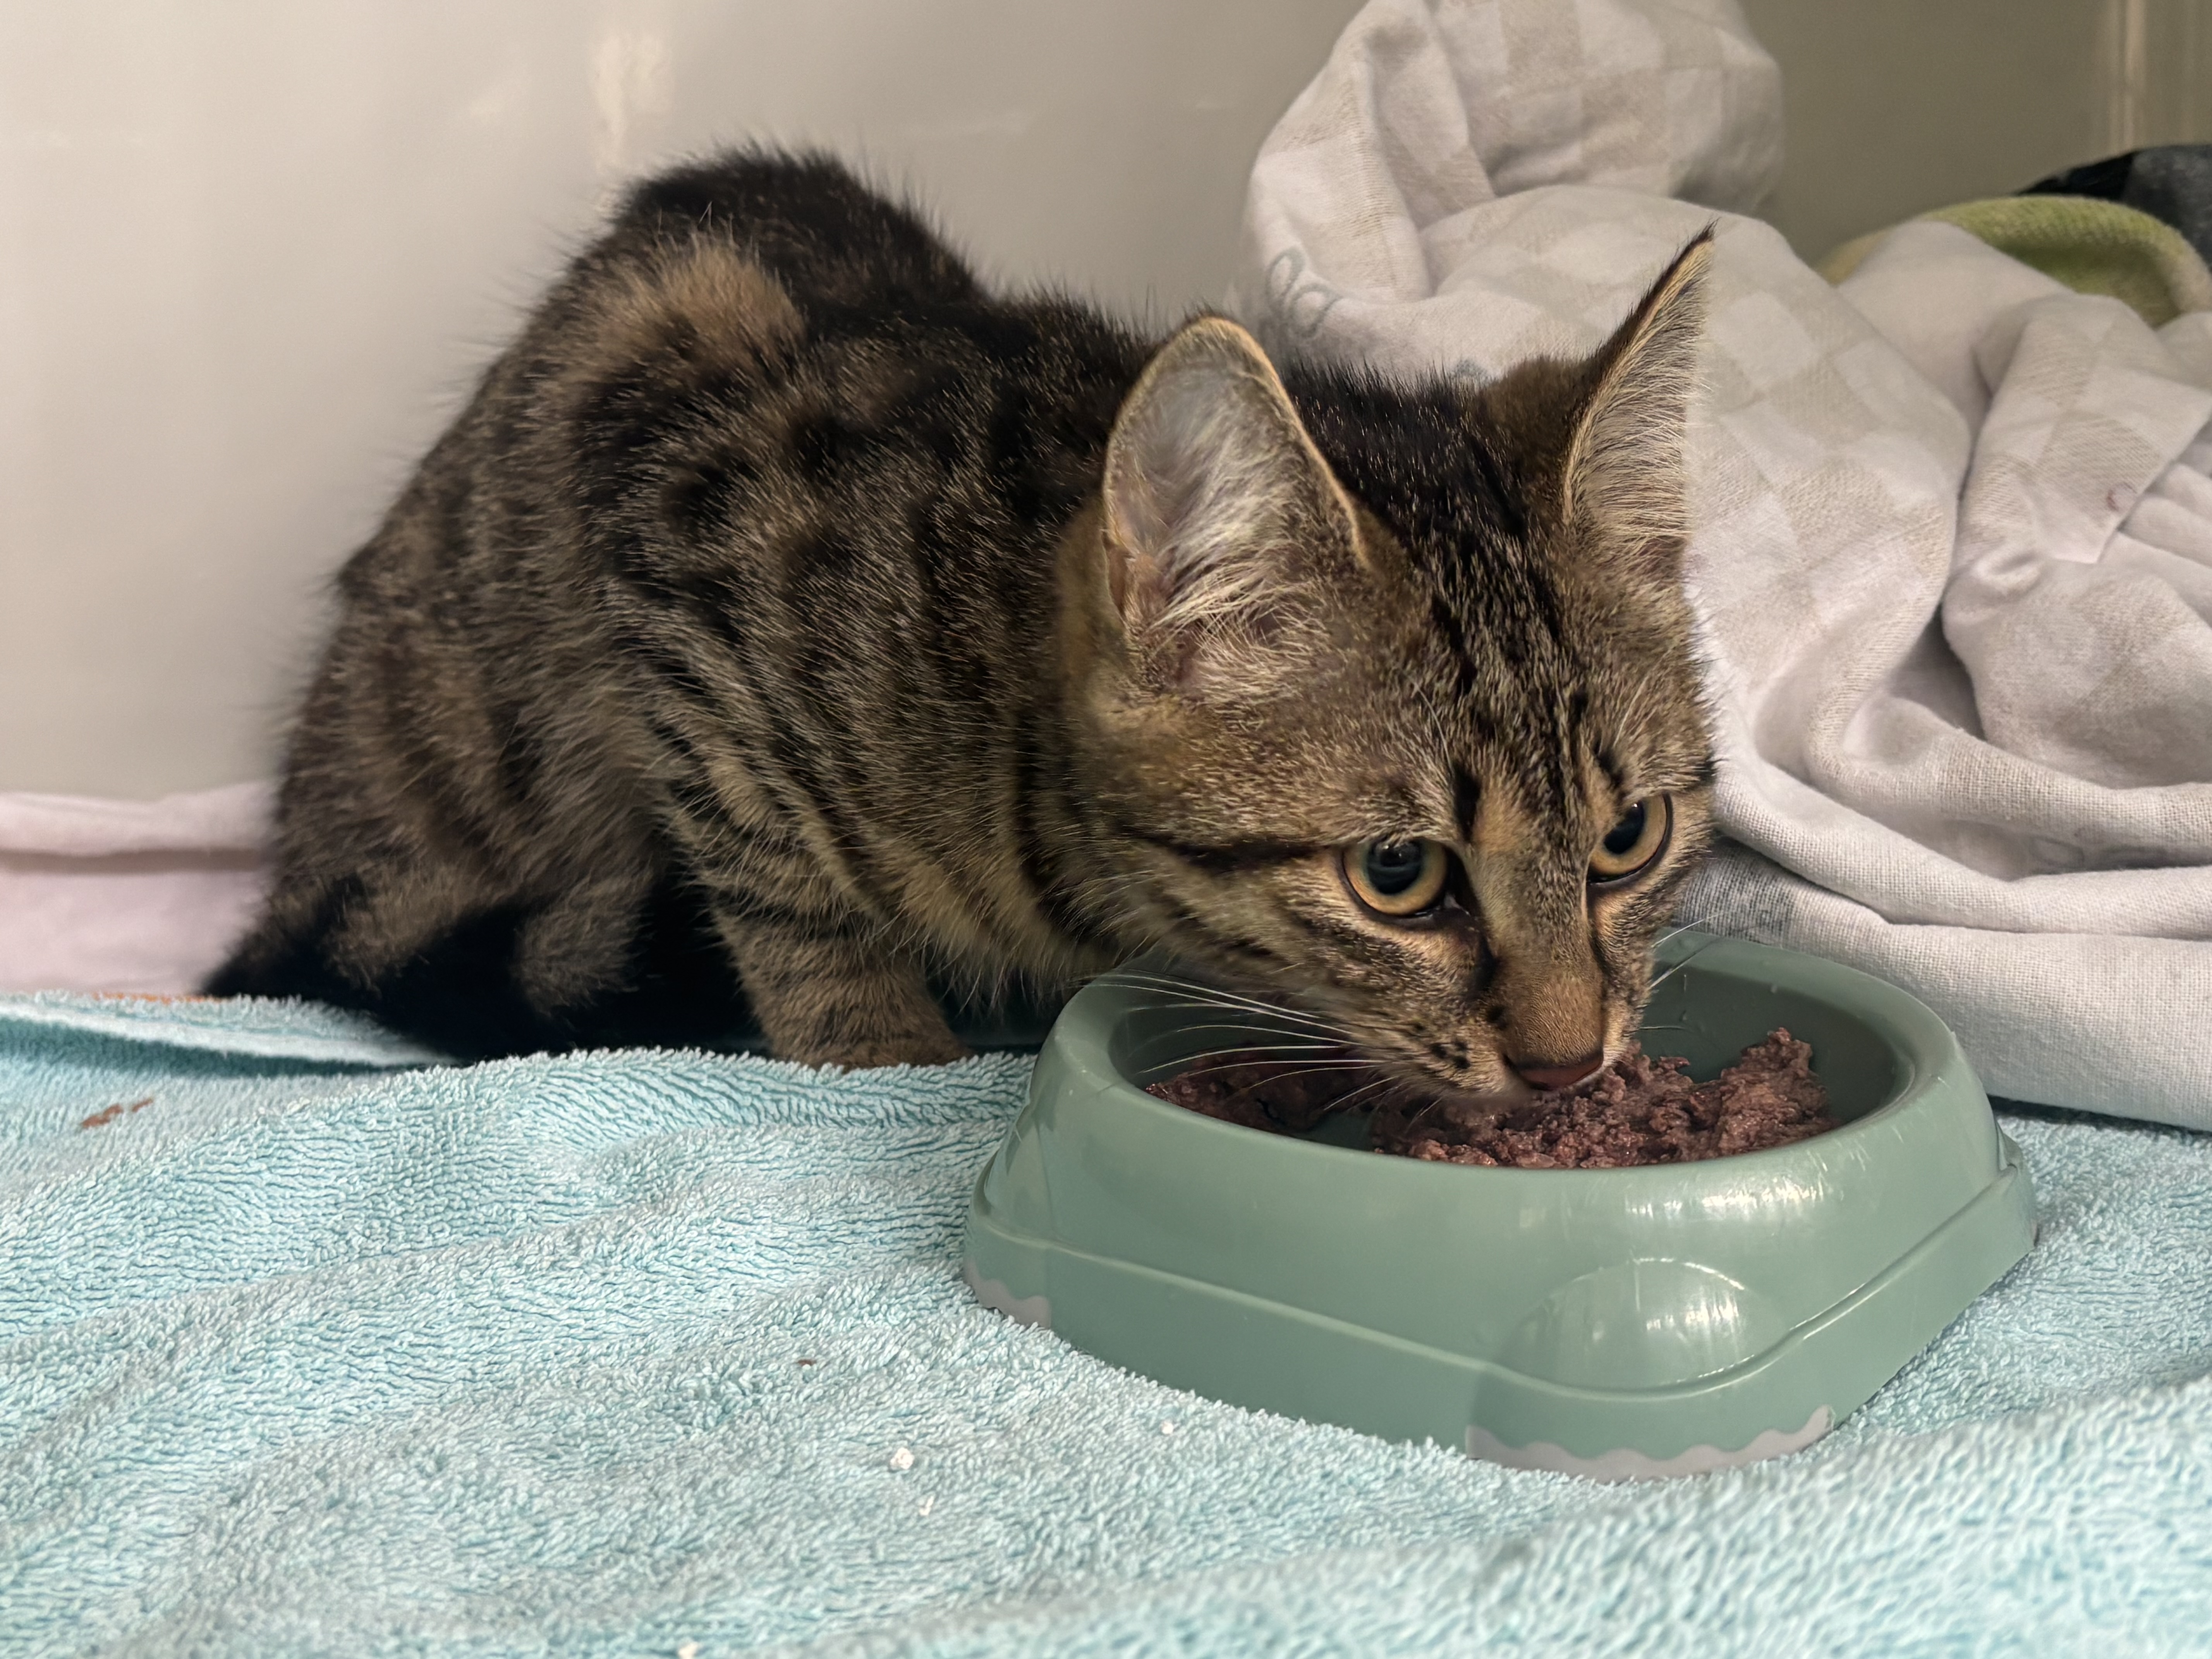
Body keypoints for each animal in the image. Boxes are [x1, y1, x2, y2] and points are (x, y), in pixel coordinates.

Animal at [210, 149, 1716, 1101]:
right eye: (1397, 874)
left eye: (1629, 839)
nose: (1569, 1064)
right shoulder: (676, 548)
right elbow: (787, 886)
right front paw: (882, 1053)